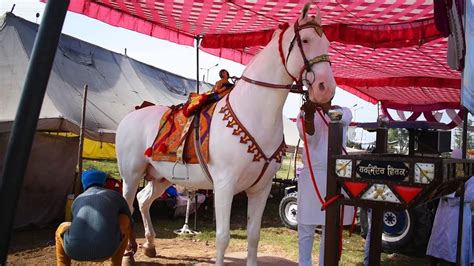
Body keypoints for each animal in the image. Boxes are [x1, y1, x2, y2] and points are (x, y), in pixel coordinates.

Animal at [116, 3, 336, 264]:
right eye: (305, 40)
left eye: (327, 44)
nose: (326, 89)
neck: (253, 112)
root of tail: (130, 116)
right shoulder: (224, 186)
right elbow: (222, 237)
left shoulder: (260, 189)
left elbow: (253, 236)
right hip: (131, 175)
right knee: (128, 206)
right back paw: (128, 254)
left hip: (160, 177)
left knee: (143, 201)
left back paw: (149, 245)